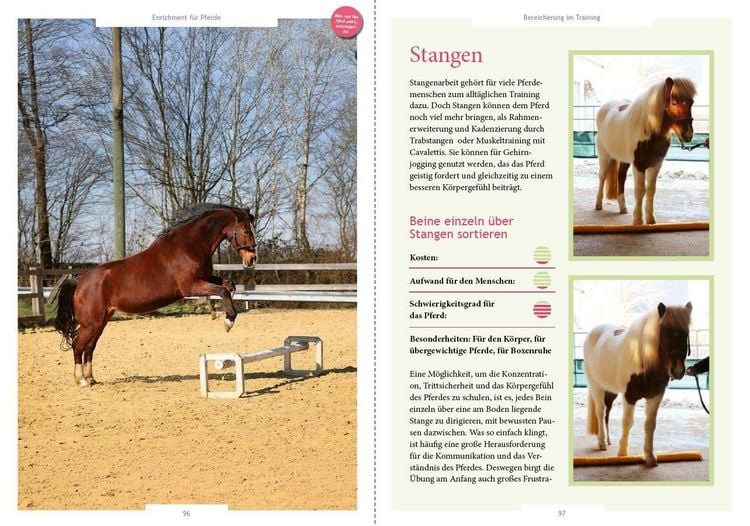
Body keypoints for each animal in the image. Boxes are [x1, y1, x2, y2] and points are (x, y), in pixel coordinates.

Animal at [54, 203, 258, 387]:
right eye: (246, 231)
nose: (252, 260)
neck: (189, 245)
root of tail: (80, 280)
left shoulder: (205, 278)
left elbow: (228, 286)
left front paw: (219, 314)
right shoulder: (191, 286)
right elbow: (223, 291)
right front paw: (228, 321)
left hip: (100, 322)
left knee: (89, 347)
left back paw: (90, 378)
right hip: (91, 324)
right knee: (78, 346)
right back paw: (81, 380)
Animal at [583, 301, 692, 467]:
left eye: (686, 333)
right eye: (663, 332)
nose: (678, 371)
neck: (643, 362)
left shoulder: (656, 396)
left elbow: (650, 424)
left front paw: (650, 457)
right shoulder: (630, 396)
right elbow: (627, 422)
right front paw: (622, 453)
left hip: (611, 390)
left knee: (607, 412)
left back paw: (608, 441)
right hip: (596, 386)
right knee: (600, 412)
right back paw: (601, 443)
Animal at [594, 77, 696, 225]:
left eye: (691, 103)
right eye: (674, 102)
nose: (688, 135)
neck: (649, 132)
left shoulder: (655, 165)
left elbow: (651, 190)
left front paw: (650, 219)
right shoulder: (639, 165)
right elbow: (640, 190)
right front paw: (638, 220)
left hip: (624, 160)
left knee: (620, 177)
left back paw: (623, 207)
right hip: (604, 156)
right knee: (602, 177)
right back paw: (598, 204)